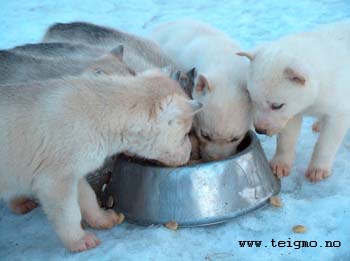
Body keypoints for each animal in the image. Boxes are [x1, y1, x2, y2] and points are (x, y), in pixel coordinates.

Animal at [0, 70, 201, 251]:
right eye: (185, 134)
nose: (190, 154)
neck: (102, 114)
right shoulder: (55, 179)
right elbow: (68, 211)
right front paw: (80, 240)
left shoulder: (75, 171)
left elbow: (87, 195)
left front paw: (103, 219)